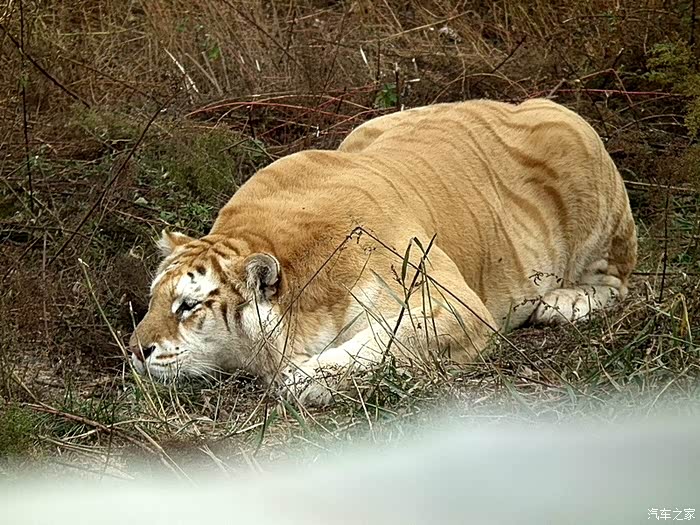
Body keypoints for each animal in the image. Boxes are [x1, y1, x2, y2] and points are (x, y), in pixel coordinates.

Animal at [128, 98, 637, 406]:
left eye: (188, 306)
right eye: (152, 301)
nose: (135, 352)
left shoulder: (450, 304)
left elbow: (382, 343)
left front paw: (300, 379)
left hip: (581, 163)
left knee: (618, 281)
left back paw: (562, 303)